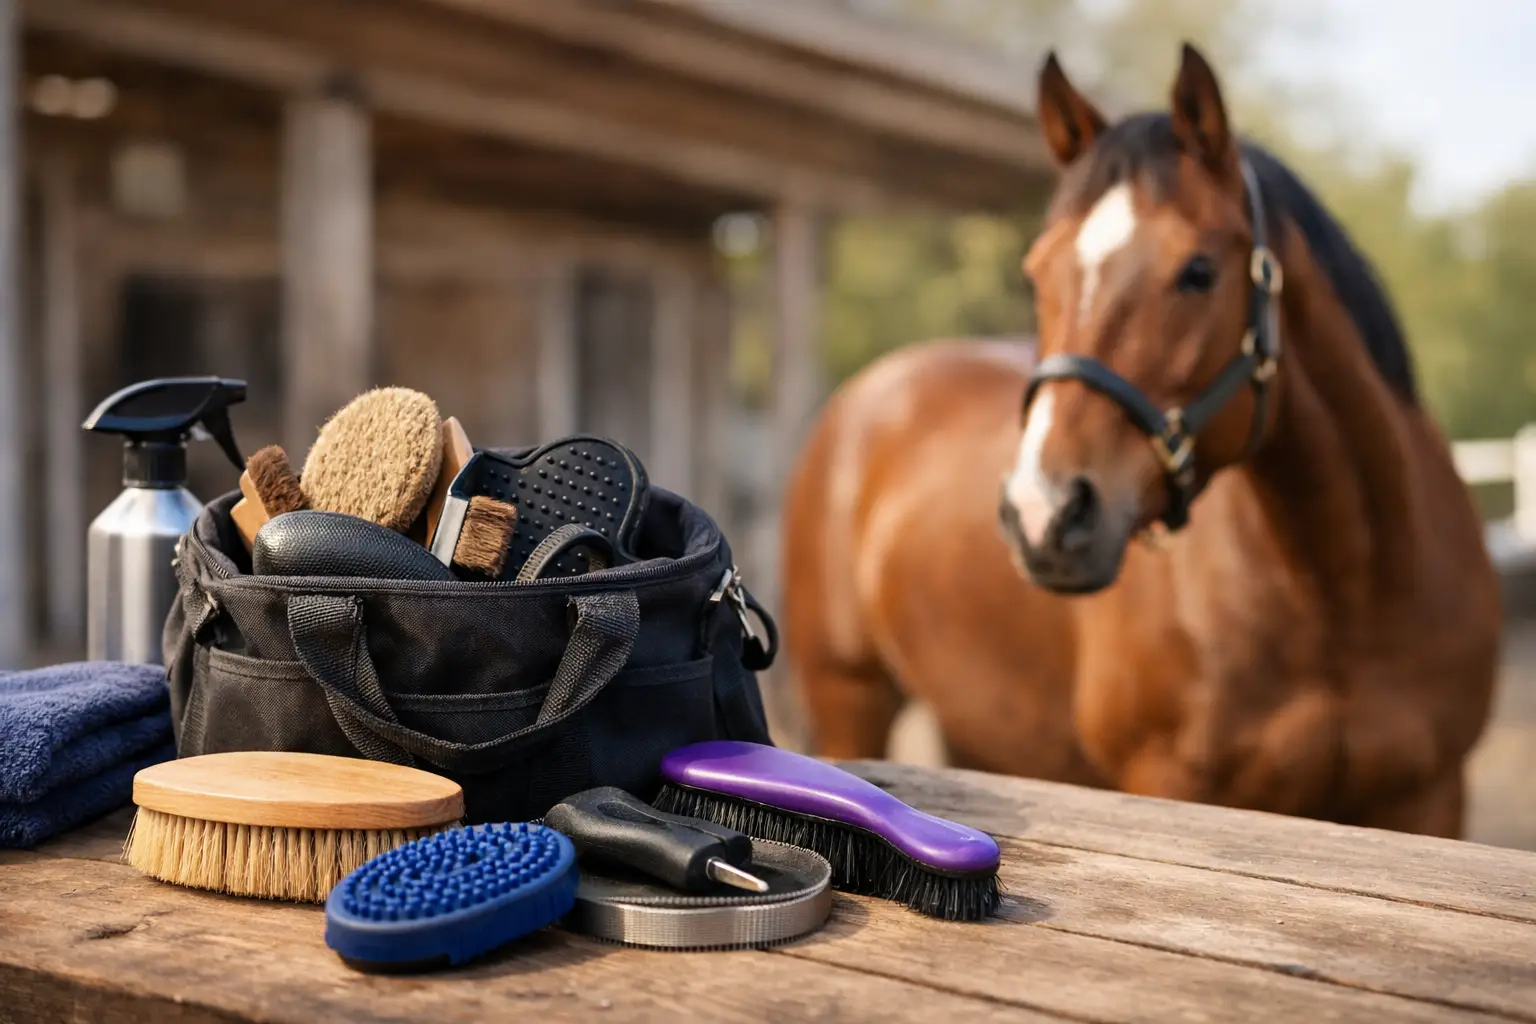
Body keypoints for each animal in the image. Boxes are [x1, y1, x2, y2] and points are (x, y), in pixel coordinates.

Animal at [780, 44, 1500, 837]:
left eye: (1199, 271)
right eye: (1037, 275)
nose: (1044, 516)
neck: (1343, 598)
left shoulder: (1431, 798)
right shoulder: (1169, 780)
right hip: (849, 697)